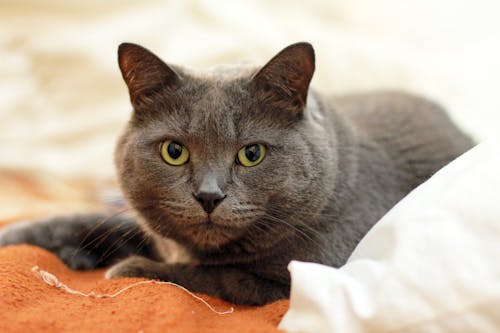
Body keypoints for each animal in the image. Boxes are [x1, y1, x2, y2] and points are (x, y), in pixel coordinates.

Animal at [0, 42, 472, 304]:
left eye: (251, 154)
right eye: (174, 151)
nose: (209, 196)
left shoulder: (305, 279)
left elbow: (216, 276)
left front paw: (128, 269)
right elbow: (90, 221)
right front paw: (20, 237)